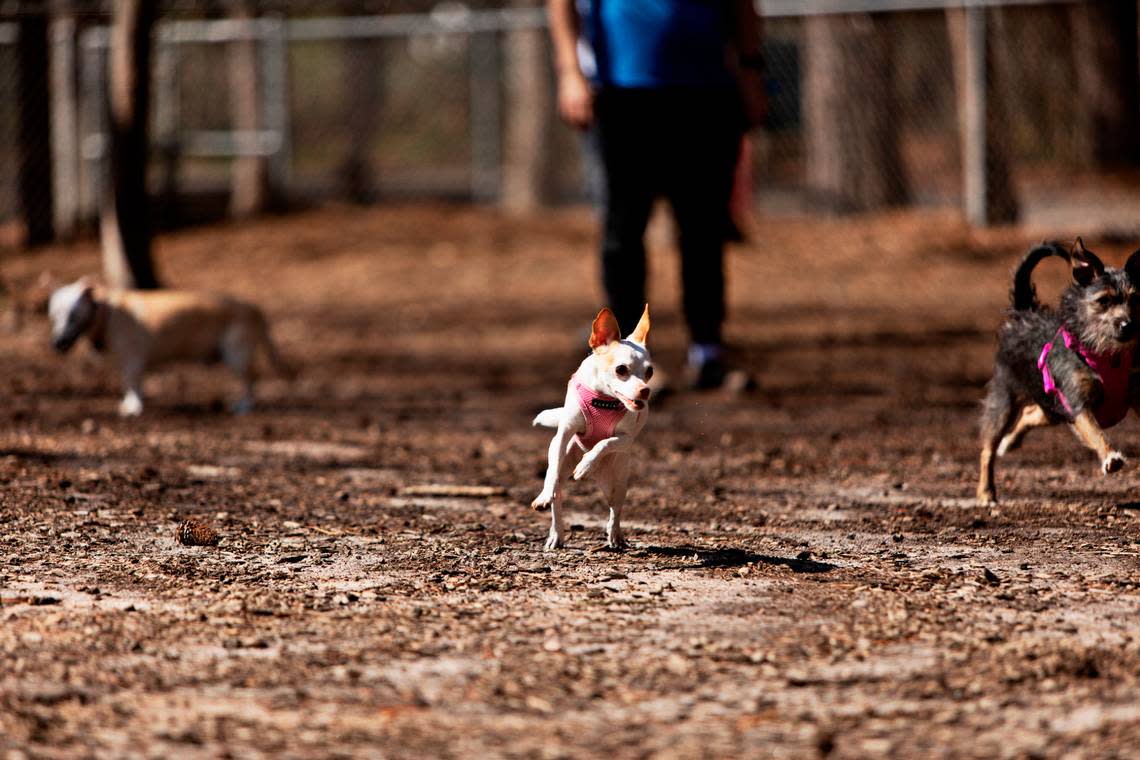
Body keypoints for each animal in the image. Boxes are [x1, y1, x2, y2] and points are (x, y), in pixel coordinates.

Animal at [49, 281, 291, 417]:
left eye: (73, 315)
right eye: (53, 316)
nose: (57, 343)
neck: (106, 314)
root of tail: (253, 308)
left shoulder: (132, 359)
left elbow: (132, 383)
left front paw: (133, 407)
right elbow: (131, 384)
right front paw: (131, 403)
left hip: (236, 354)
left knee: (251, 380)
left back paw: (244, 406)